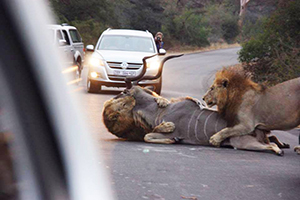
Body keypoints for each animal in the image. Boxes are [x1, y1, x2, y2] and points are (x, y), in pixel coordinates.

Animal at [102, 86, 288, 155]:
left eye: (122, 95)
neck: (158, 111)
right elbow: (148, 136)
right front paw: (172, 139)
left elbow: (150, 136)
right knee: (272, 140)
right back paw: (283, 145)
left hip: (243, 143)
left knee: (272, 146)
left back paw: (280, 150)